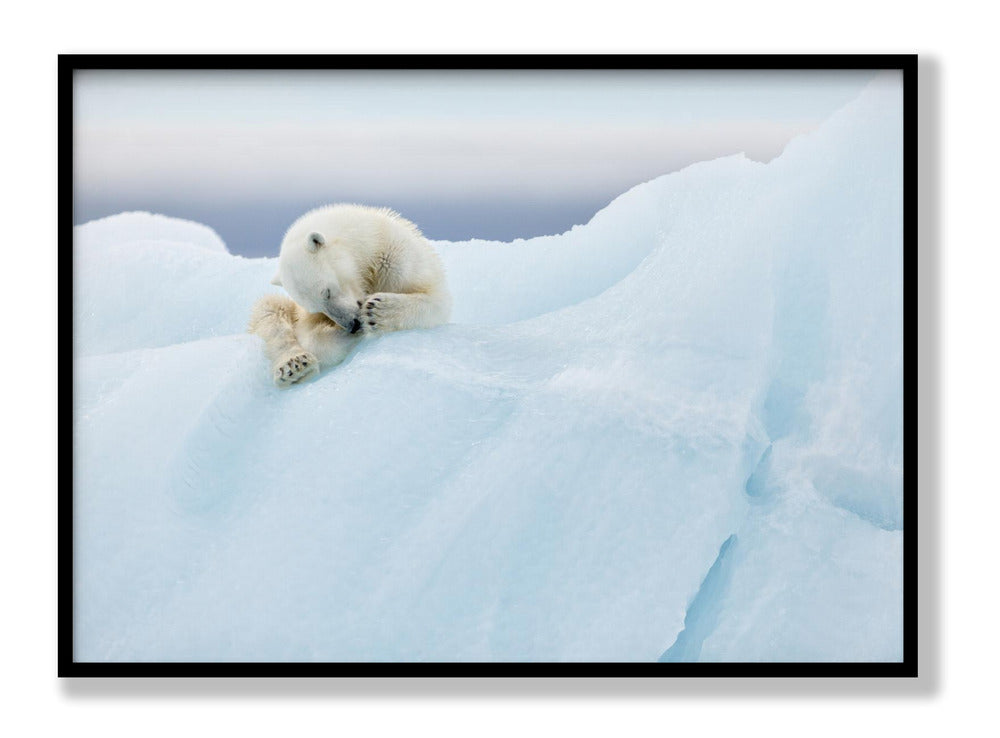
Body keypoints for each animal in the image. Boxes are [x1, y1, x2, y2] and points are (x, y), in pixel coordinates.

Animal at [248, 201, 452, 386]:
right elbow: (309, 334)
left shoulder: (398, 259)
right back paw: (294, 365)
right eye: (317, 309)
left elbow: (436, 300)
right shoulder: (303, 314)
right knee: (269, 310)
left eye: (327, 292)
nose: (353, 325)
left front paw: (376, 311)